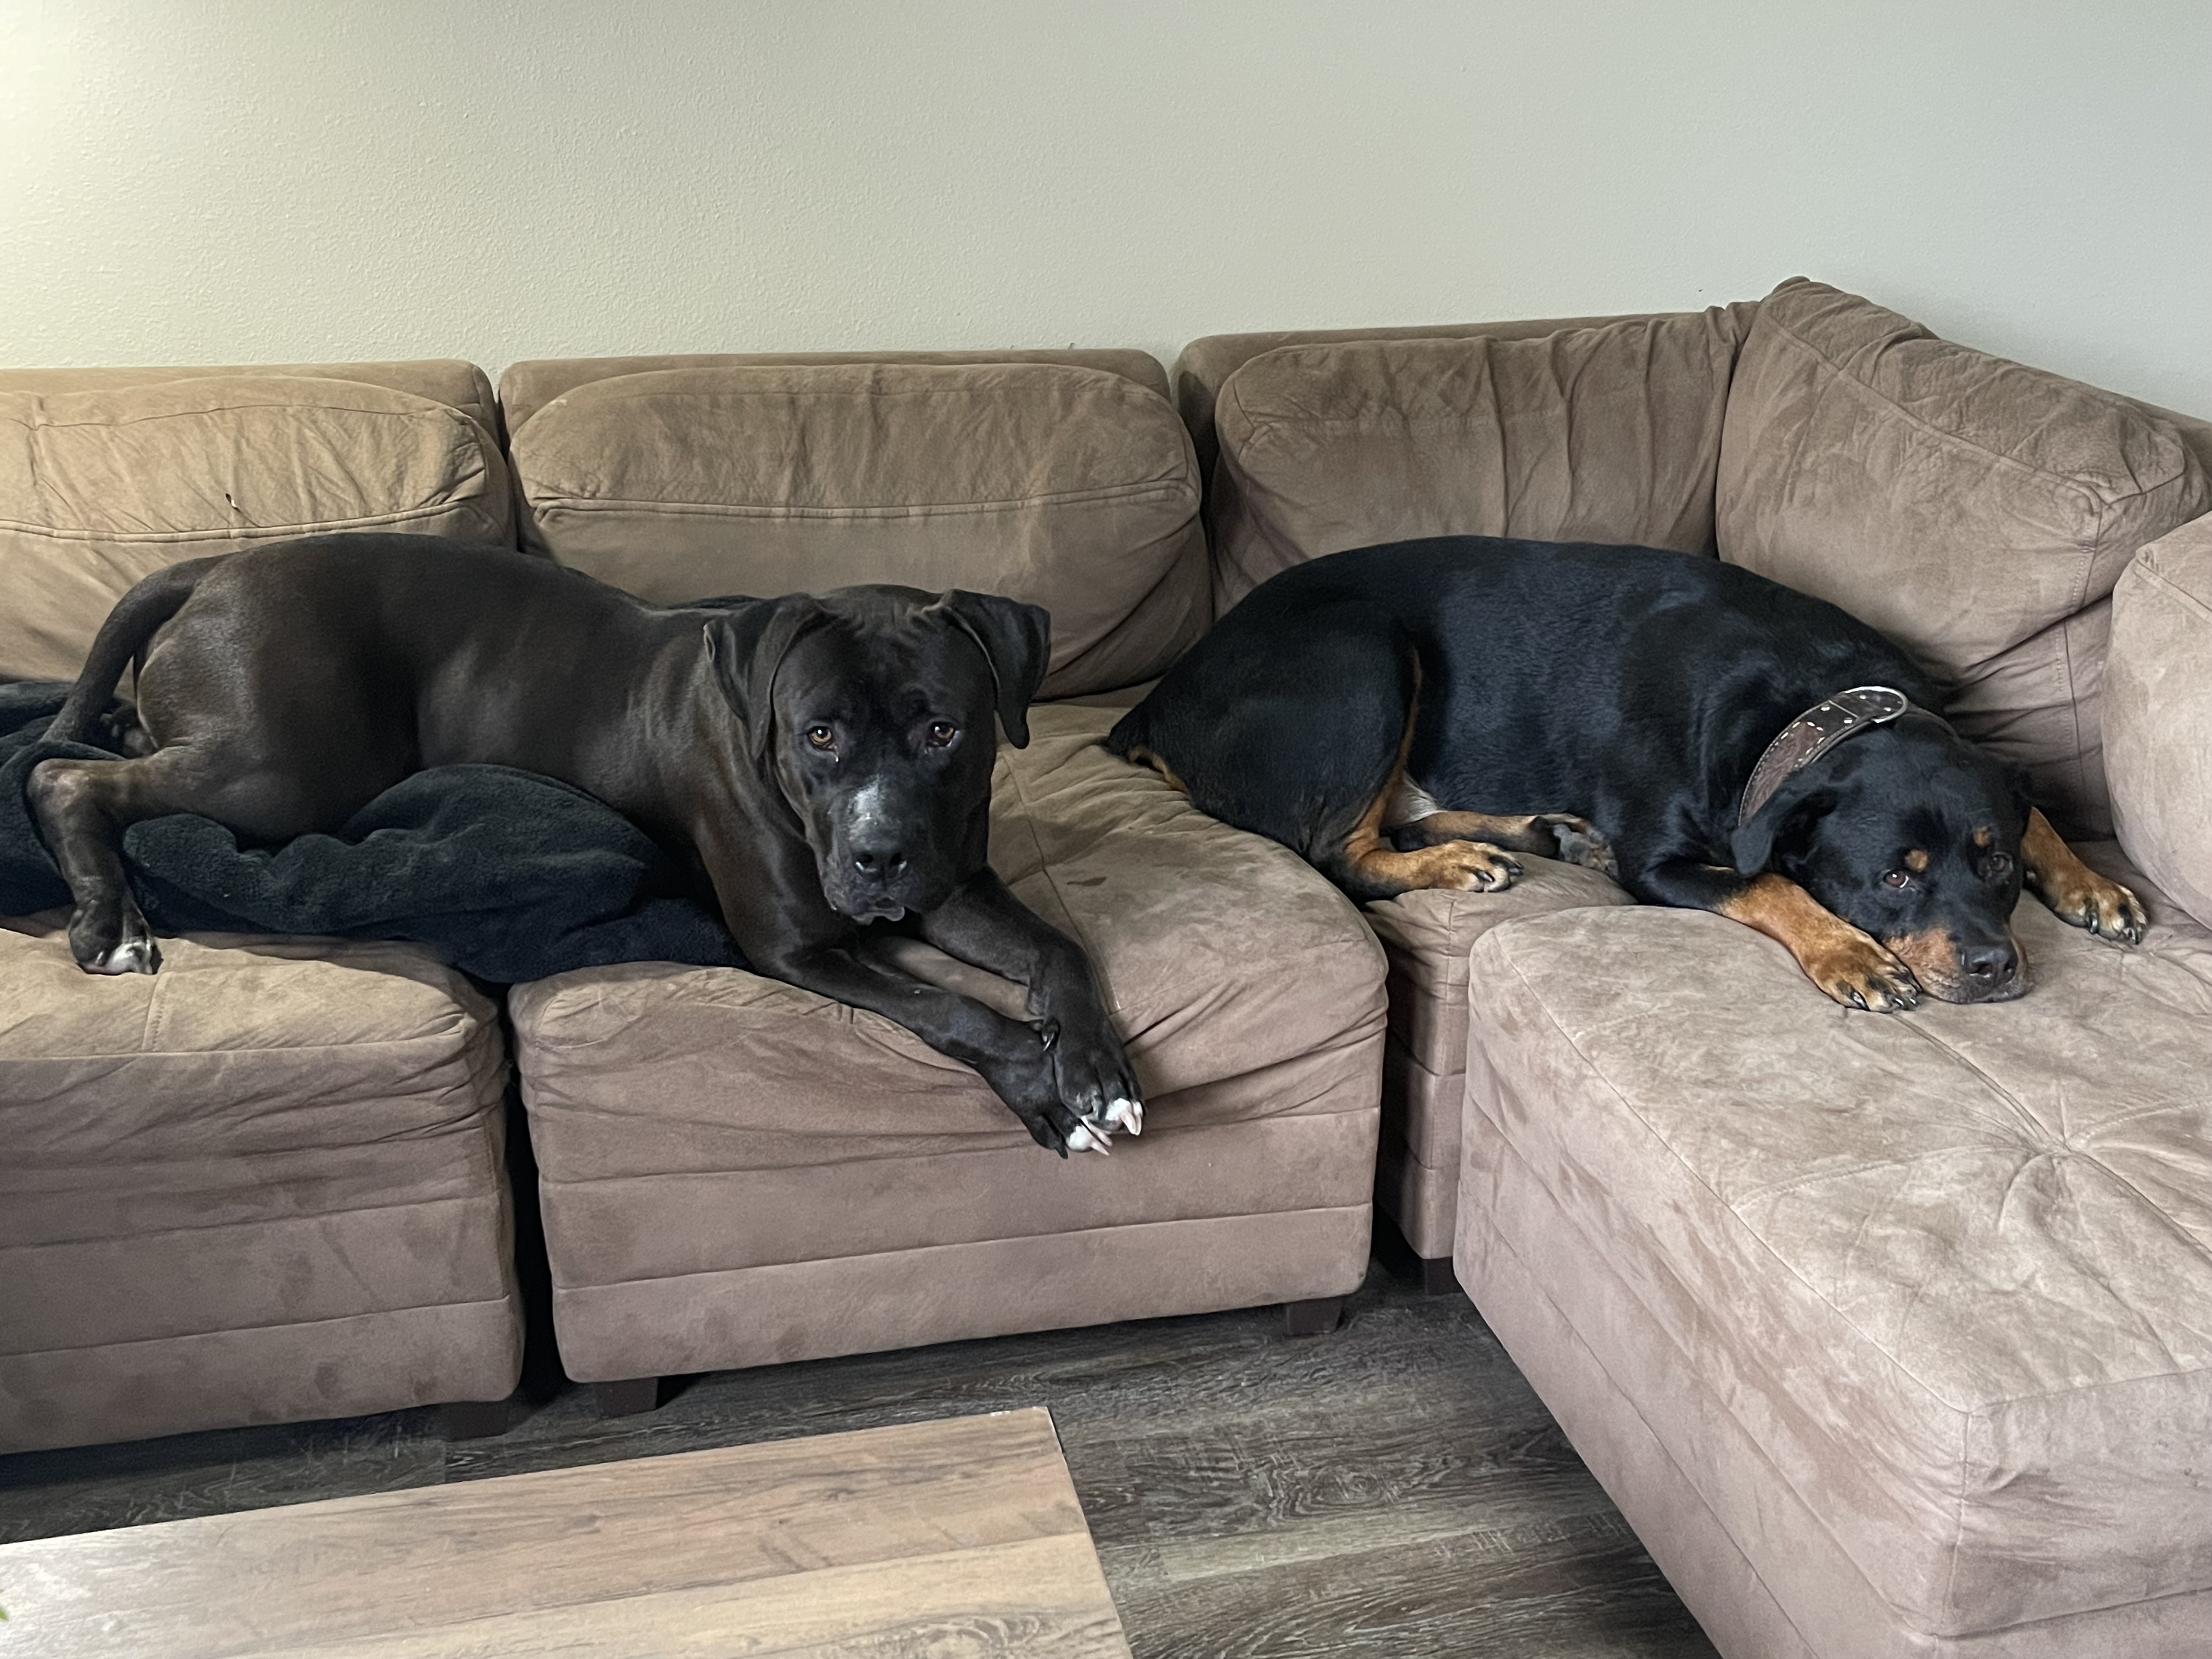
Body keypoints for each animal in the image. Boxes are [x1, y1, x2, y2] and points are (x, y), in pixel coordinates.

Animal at [35, 535, 1141, 1159]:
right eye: (819, 733)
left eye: (946, 730)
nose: (878, 857)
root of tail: (210, 569)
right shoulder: (794, 947)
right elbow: (950, 1009)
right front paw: (1041, 1082)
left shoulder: (953, 884)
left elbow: (1059, 950)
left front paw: (1095, 1065)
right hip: (283, 772)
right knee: (62, 776)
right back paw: (109, 920)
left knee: (110, 747)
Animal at [1106, 539, 2141, 1008]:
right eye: (1893, 877)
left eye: (1994, 863)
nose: (1994, 965)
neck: (1819, 704)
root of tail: (1160, 696)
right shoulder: (1664, 862)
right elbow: (1768, 880)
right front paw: (1848, 952)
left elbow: (2039, 805)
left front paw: (2091, 882)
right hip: (1365, 650)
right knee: (1335, 848)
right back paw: (1459, 861)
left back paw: (1528, 832)